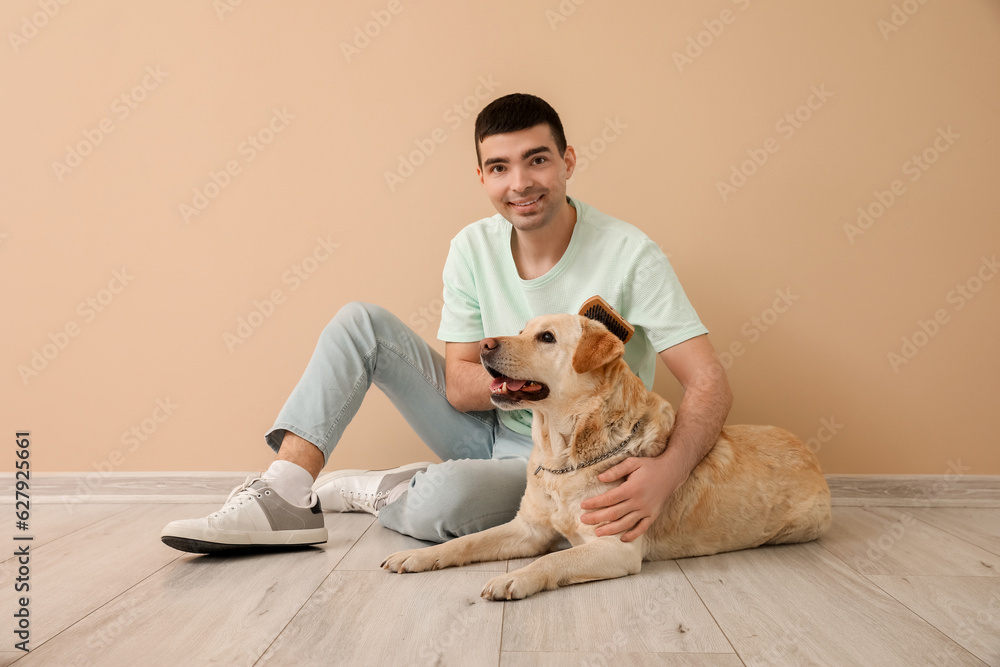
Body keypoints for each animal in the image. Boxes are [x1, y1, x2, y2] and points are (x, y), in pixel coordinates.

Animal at [378, 314, 832, 600]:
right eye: (522, 329)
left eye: (546, 337)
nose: (484, 345)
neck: (563, 456)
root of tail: (810, 452)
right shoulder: (528, 530)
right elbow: (465, 542)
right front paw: (418, 556)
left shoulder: (615, 547)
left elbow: (556, 558)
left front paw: (518, 579)